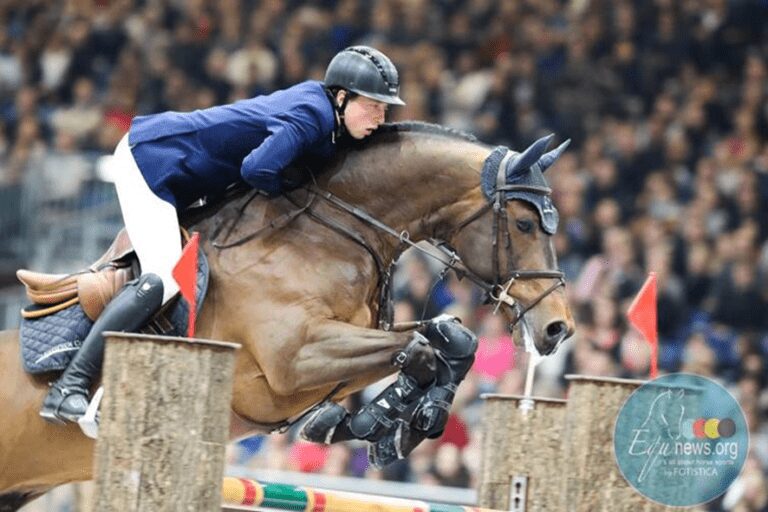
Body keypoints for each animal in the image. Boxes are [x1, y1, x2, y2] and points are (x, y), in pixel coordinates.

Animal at [0, 122, 575, 509]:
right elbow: (418, 351)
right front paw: (388, 423)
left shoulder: (346, 345)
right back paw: (68, 399)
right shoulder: (292, 360)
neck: (328, 235)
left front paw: (378, 424)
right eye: (525, 223)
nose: (557, 328)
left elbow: (450, 340)